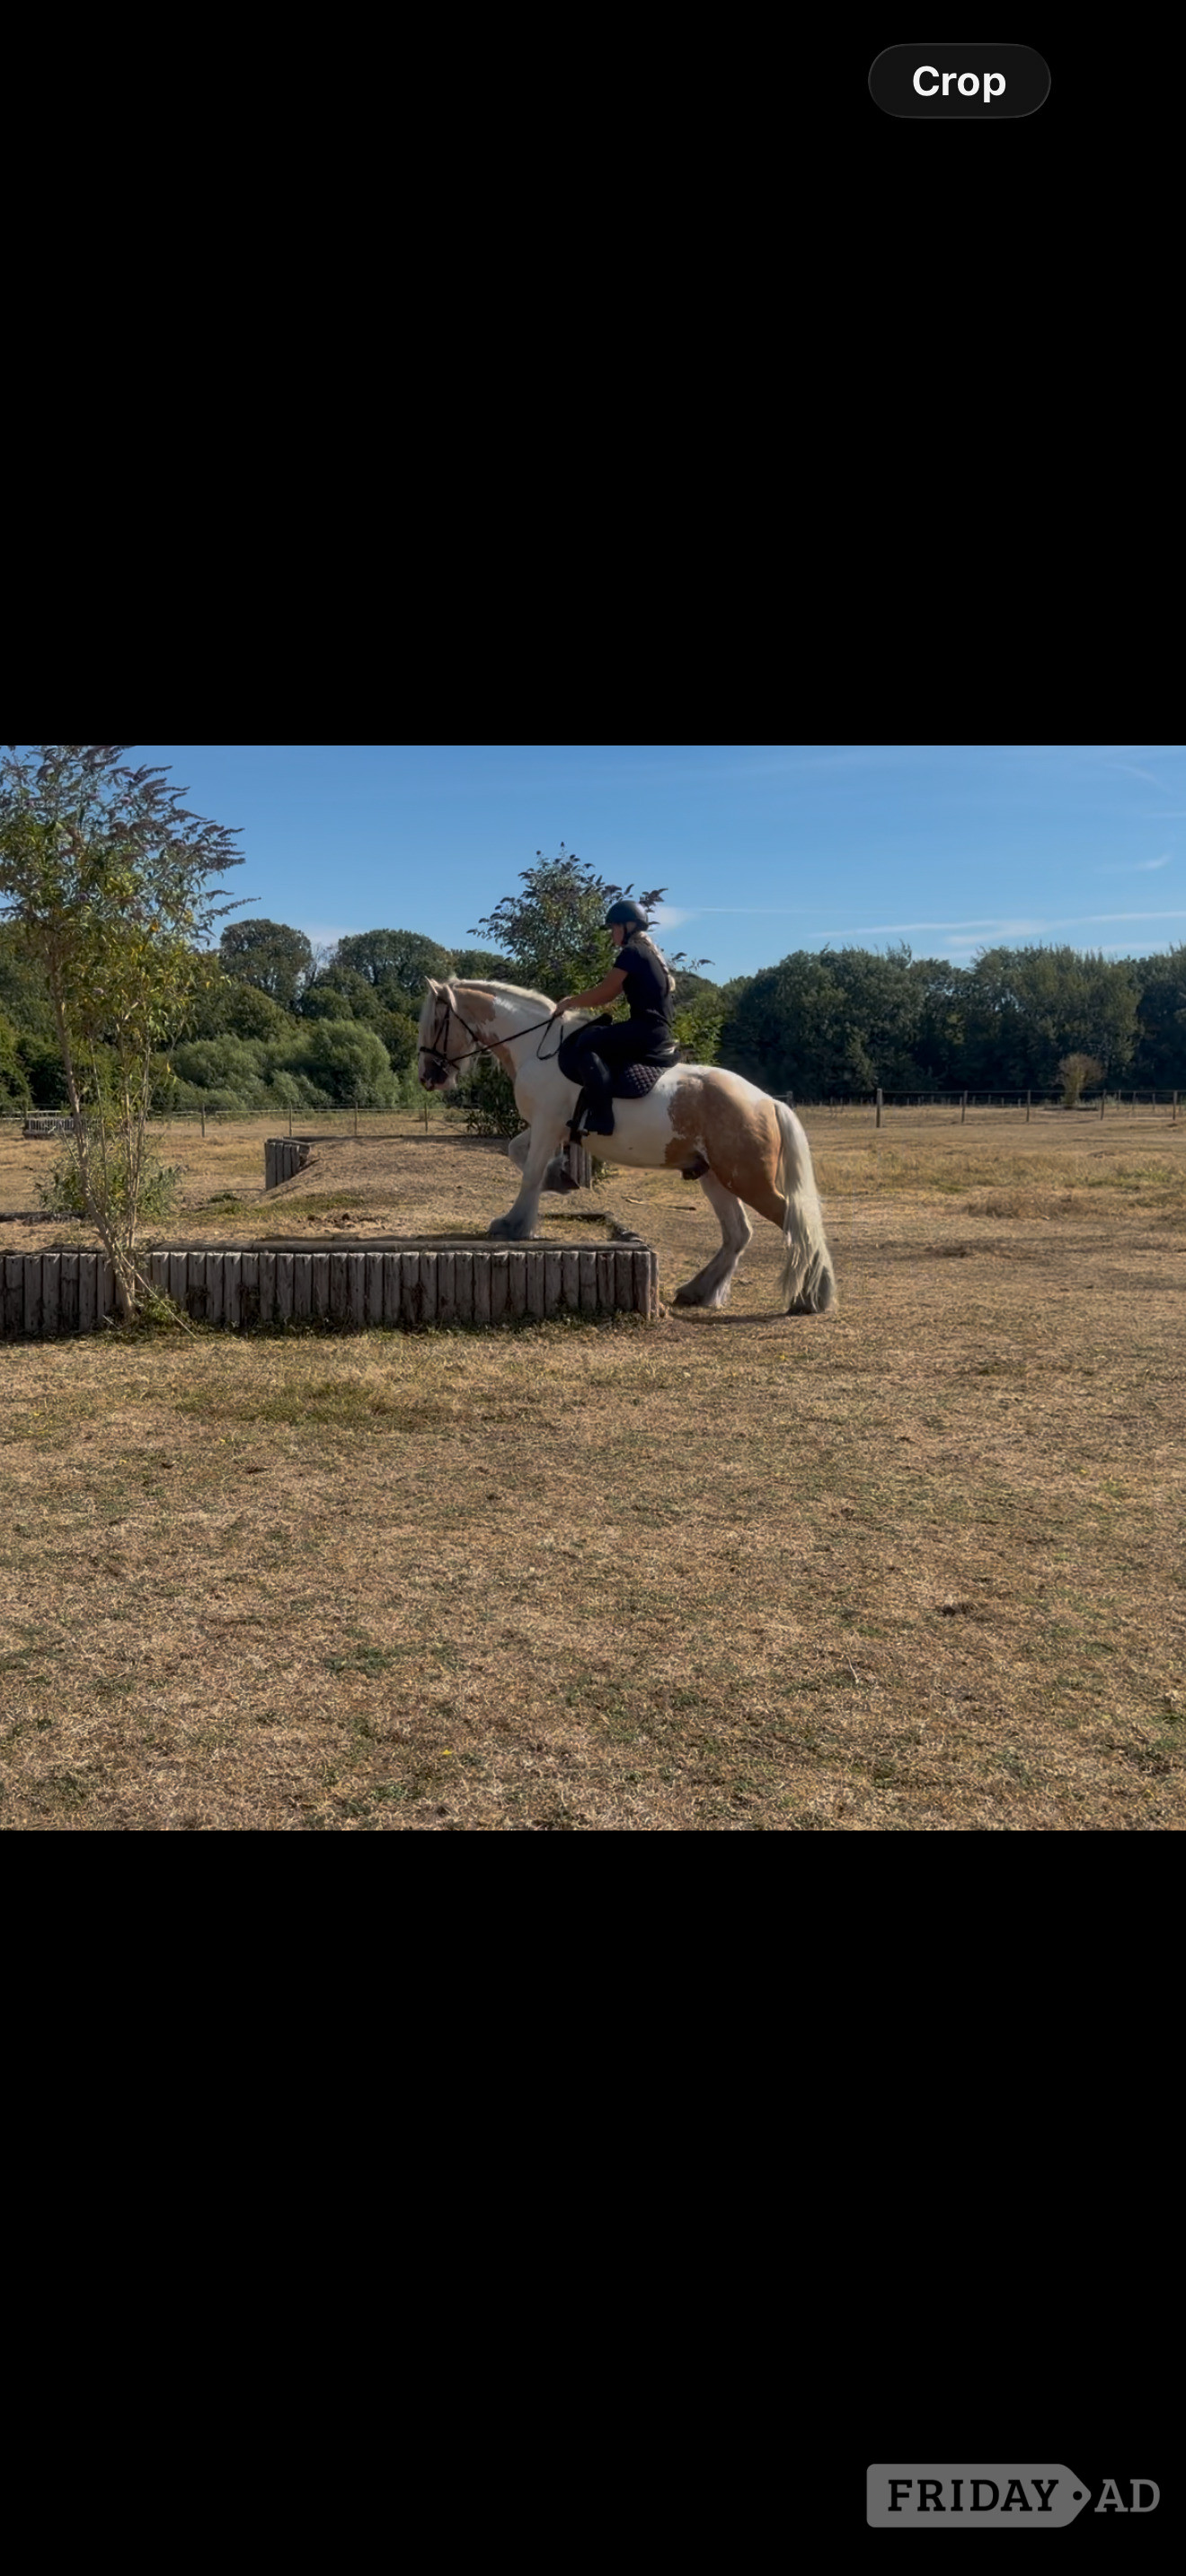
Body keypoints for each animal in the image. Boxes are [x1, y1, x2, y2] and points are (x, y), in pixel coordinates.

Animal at [417, 978, 836, 1314]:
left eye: (436, 1023)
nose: (427, 1077)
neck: (537, 1046)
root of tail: (766, 1101)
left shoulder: (548, 1123)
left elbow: (530, 1171)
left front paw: (514, 1224)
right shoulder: (548, 1128)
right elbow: (518, 1154)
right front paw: (560, 1179)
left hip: (747, 1178)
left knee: (795, 1222)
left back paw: (812, 1296)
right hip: (716, 1176)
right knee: (738, 1234)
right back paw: (698, 1290)